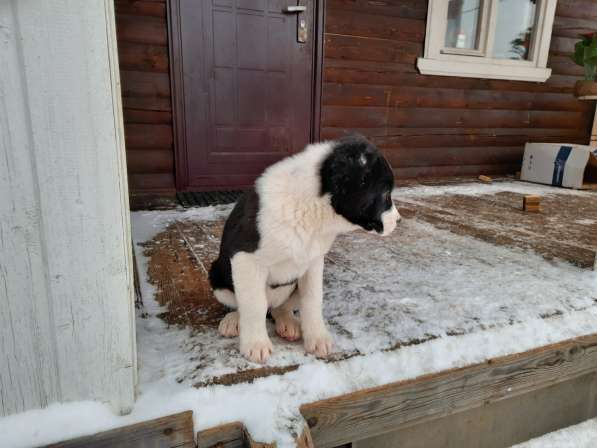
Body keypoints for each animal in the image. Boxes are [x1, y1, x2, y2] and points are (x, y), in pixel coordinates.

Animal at [207, 135, 398, 362]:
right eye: (385, 194)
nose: (398, 220)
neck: (311, 209)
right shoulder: (245, 257)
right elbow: (254, 304)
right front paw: (255, 343)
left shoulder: (314, 262)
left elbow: (313, 299)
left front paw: (317, 337)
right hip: (217, 277)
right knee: (249, 304)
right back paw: (234, 320)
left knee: (279, 308)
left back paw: (288, 323)